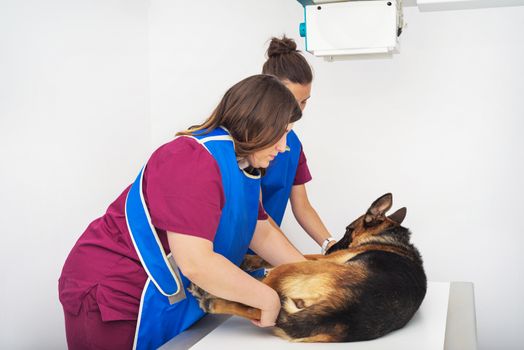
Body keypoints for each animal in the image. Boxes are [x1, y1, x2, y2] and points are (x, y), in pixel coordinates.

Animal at [190, 194, 428, 342]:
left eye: (348, 229)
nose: (331, 248)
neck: (389, 237)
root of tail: (341, 311)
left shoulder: (324, 259)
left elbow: (302, 254)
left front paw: (247, 260)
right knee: (260, 307)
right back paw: (212, 300)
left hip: (292, 269)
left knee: (260, 296)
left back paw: (210, 294)